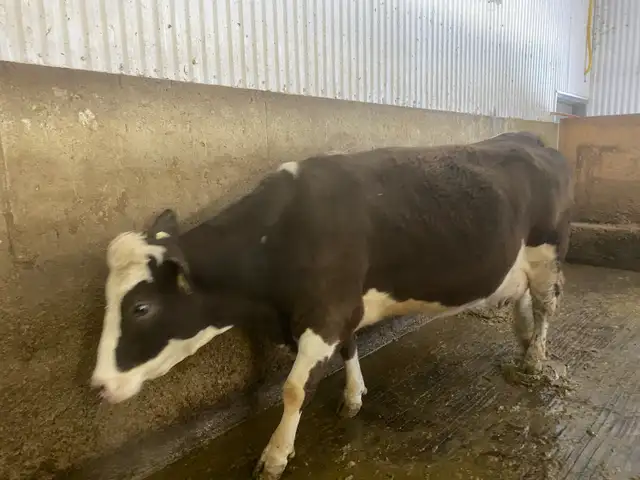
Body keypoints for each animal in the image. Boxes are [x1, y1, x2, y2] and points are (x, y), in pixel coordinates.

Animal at [91, 131, 573, 480]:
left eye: (140, 308)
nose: (98, 385)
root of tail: (531, 137)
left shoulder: (326, 313)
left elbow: (293, 389)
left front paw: (275, 456)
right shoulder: (340, 309)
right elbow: (349, 347)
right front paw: (354, 396)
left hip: (547, 253)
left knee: (546, 306)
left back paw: (534, 361)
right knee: (524, 303)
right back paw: (524, 344)